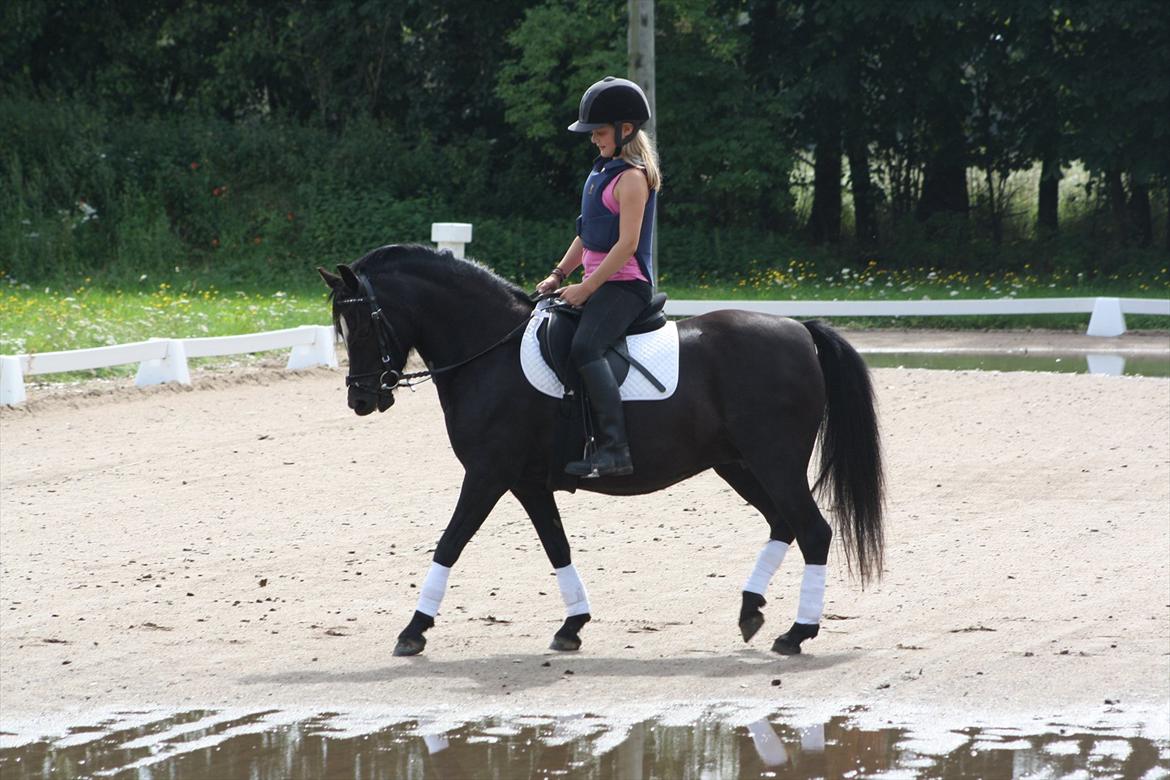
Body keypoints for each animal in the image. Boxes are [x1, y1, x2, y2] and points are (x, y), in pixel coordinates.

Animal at [318, 244, 884, 657]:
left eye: (363, 324)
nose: (361, 399)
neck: (489, 350)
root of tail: (799, 329)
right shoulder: (526, 482)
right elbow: (557, 546)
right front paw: (573, 625)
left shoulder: (487, 473)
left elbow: (449, 543)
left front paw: (413, 630)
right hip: (739, 464)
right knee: (784, 523)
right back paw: (751, 611)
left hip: (774, 460)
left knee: (813, 530)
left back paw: (796, 633)